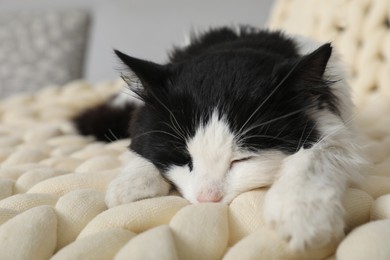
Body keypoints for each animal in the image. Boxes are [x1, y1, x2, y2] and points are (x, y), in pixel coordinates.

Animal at [74, 25, 362, 250]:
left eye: (242, 160)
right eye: (183, 158)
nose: (207, 200)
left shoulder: (335, 130)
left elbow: (313, 157)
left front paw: (303, 215)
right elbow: (139, 147)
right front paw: (131, 186)